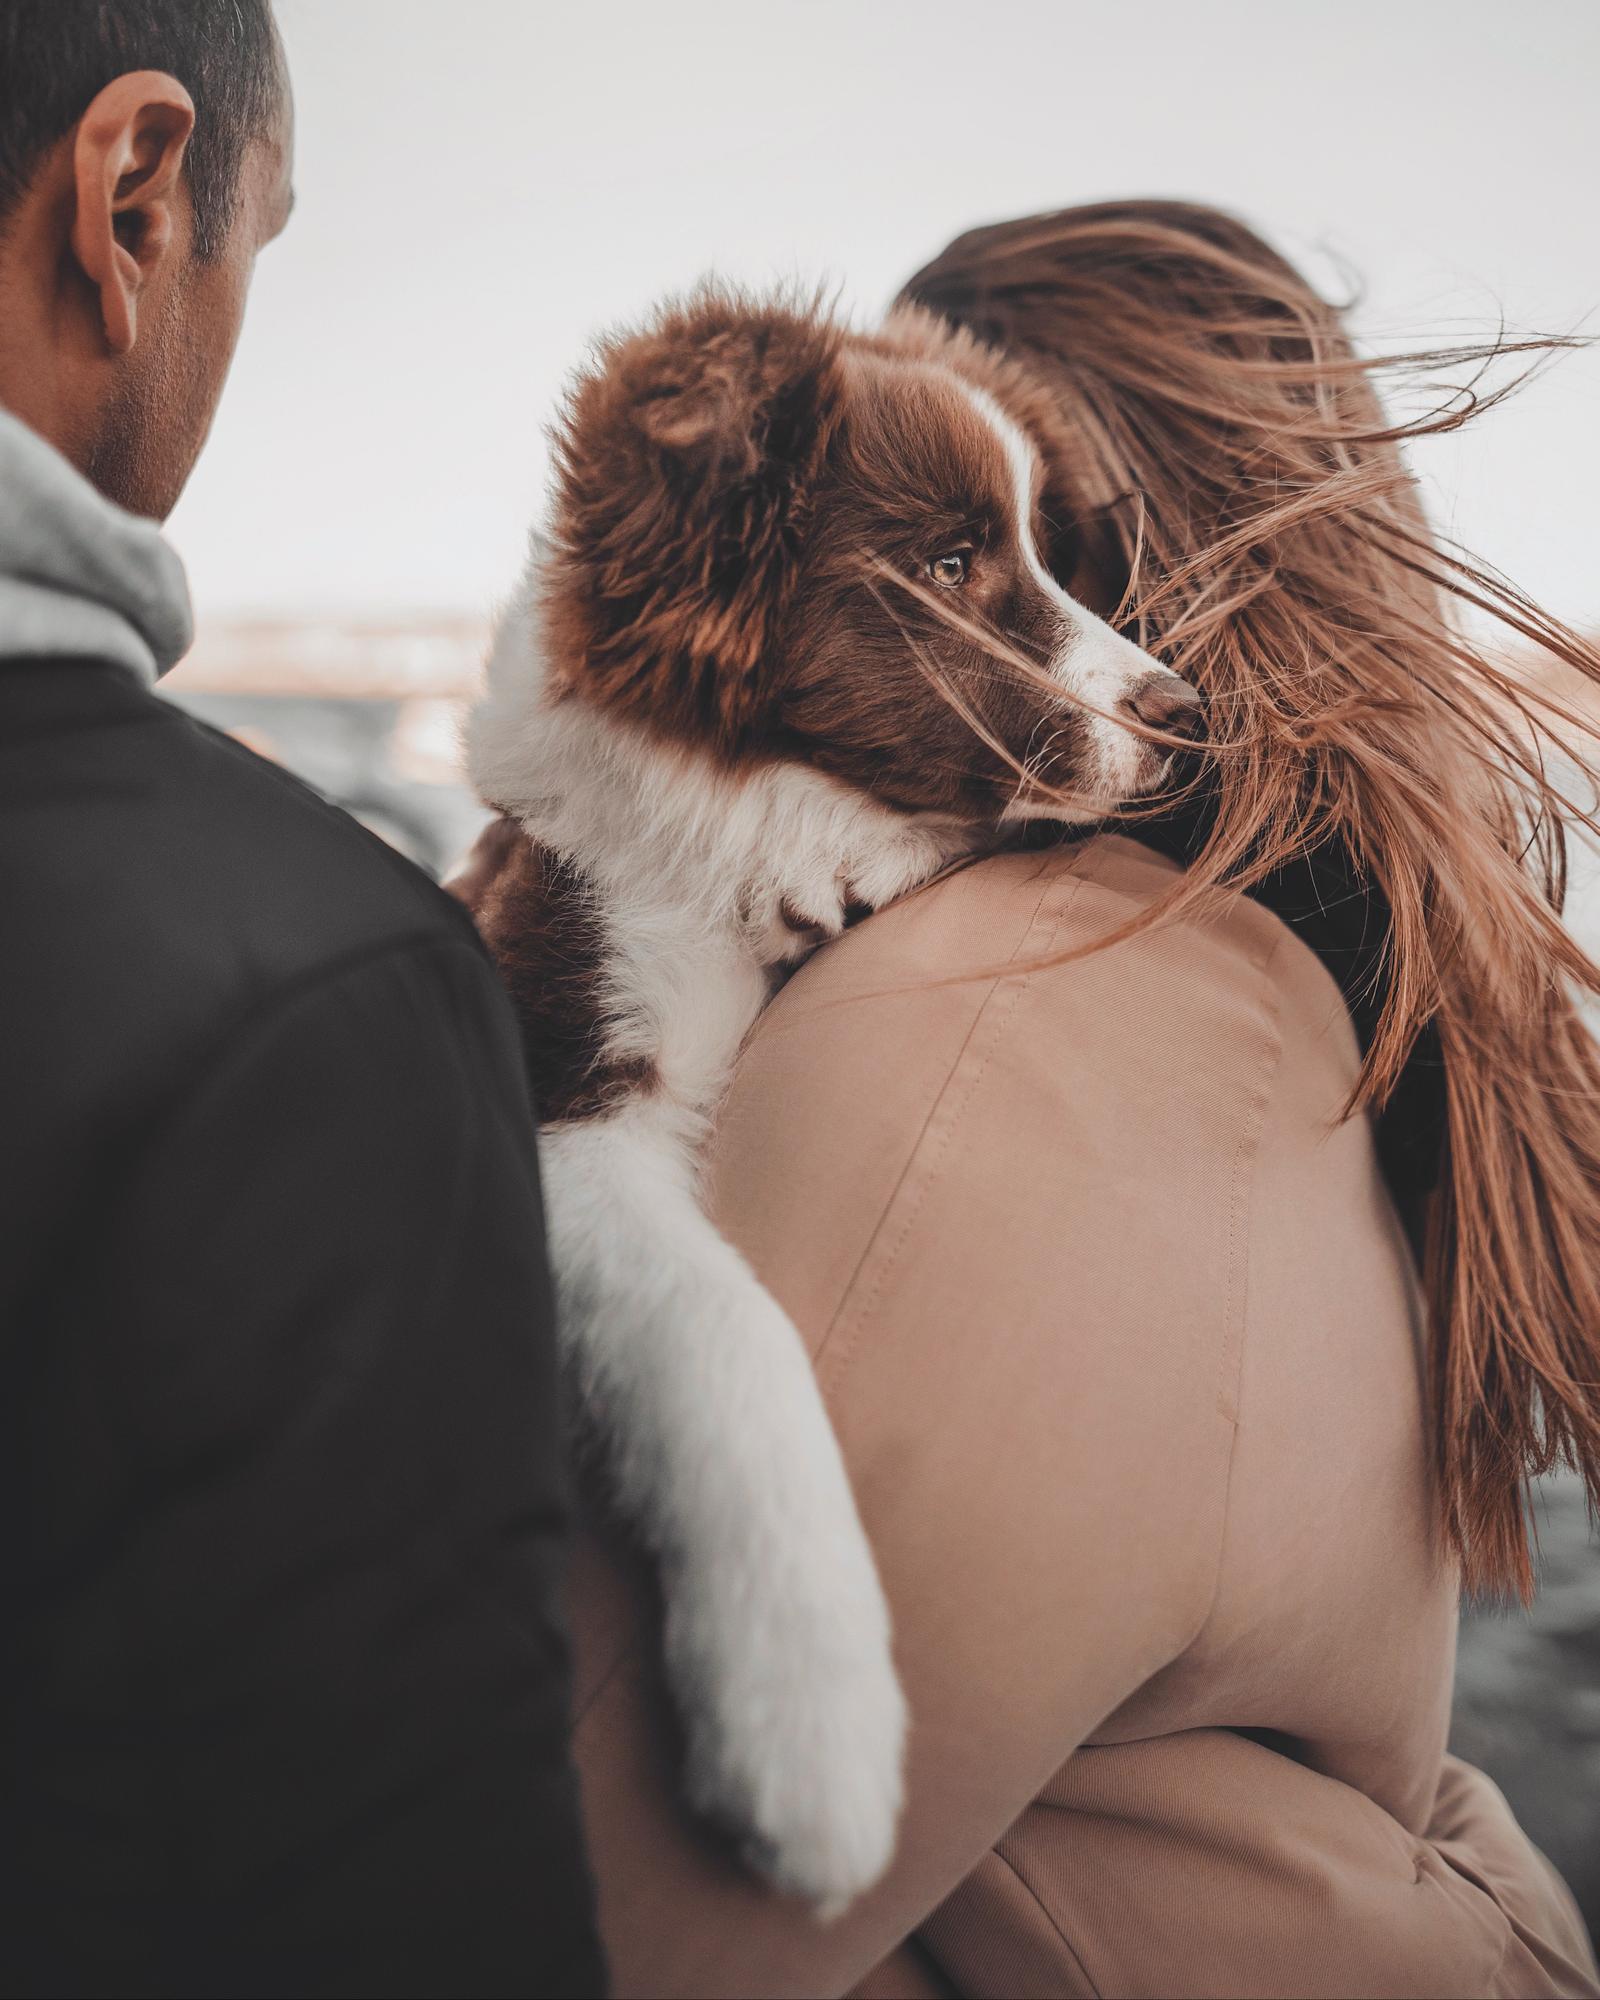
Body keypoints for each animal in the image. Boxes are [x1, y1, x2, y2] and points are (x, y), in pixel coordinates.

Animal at [454, 290, 1200, 1912]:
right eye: (947, 566)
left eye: (1047, 551)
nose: (1189, 711)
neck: (767, 836)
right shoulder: (568, 1087)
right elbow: (724, 1328)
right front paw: (808, 1723)